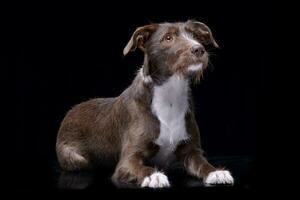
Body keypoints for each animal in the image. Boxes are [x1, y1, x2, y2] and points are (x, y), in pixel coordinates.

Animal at [56, 19, 234, 188]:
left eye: (196, 36)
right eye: (168, 38)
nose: (199, 49)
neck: (171, 96)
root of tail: (70, 112)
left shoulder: (192, 151)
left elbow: (202, 163)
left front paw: (215, 172)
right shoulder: (127, 160)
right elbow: (139, 167)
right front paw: (153, 175)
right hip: (76, 158)